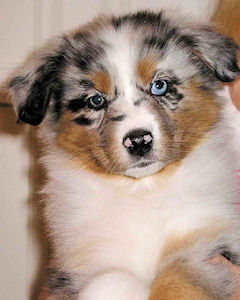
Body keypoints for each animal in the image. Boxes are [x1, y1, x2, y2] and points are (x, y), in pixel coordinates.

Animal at [7, 9, 240, 300]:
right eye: (96, 100)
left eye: (159, 86)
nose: (139, 140)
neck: (141, 190)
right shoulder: (79, 262)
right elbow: (109, 280)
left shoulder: (213, 242)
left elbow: (182, 274)